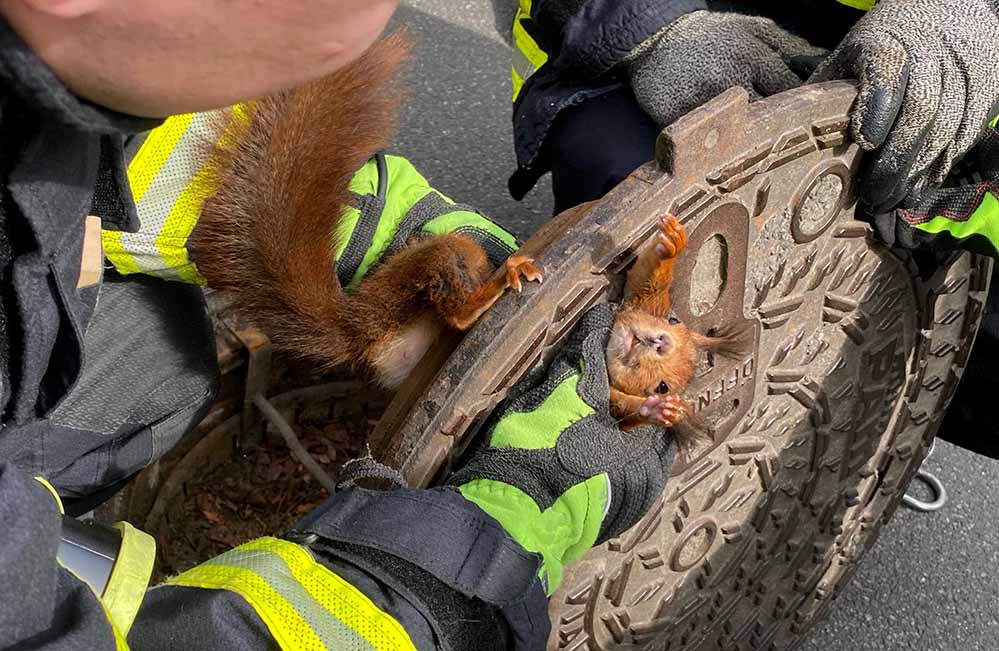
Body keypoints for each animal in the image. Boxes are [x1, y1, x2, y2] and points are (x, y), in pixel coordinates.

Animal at [604, 216, 748, 436]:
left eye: (662, 388)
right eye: (673, 320)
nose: (662, 343)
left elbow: (619, 413)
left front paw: (657, 411)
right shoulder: (642, 302)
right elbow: (643, 279)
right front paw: (674, 243)